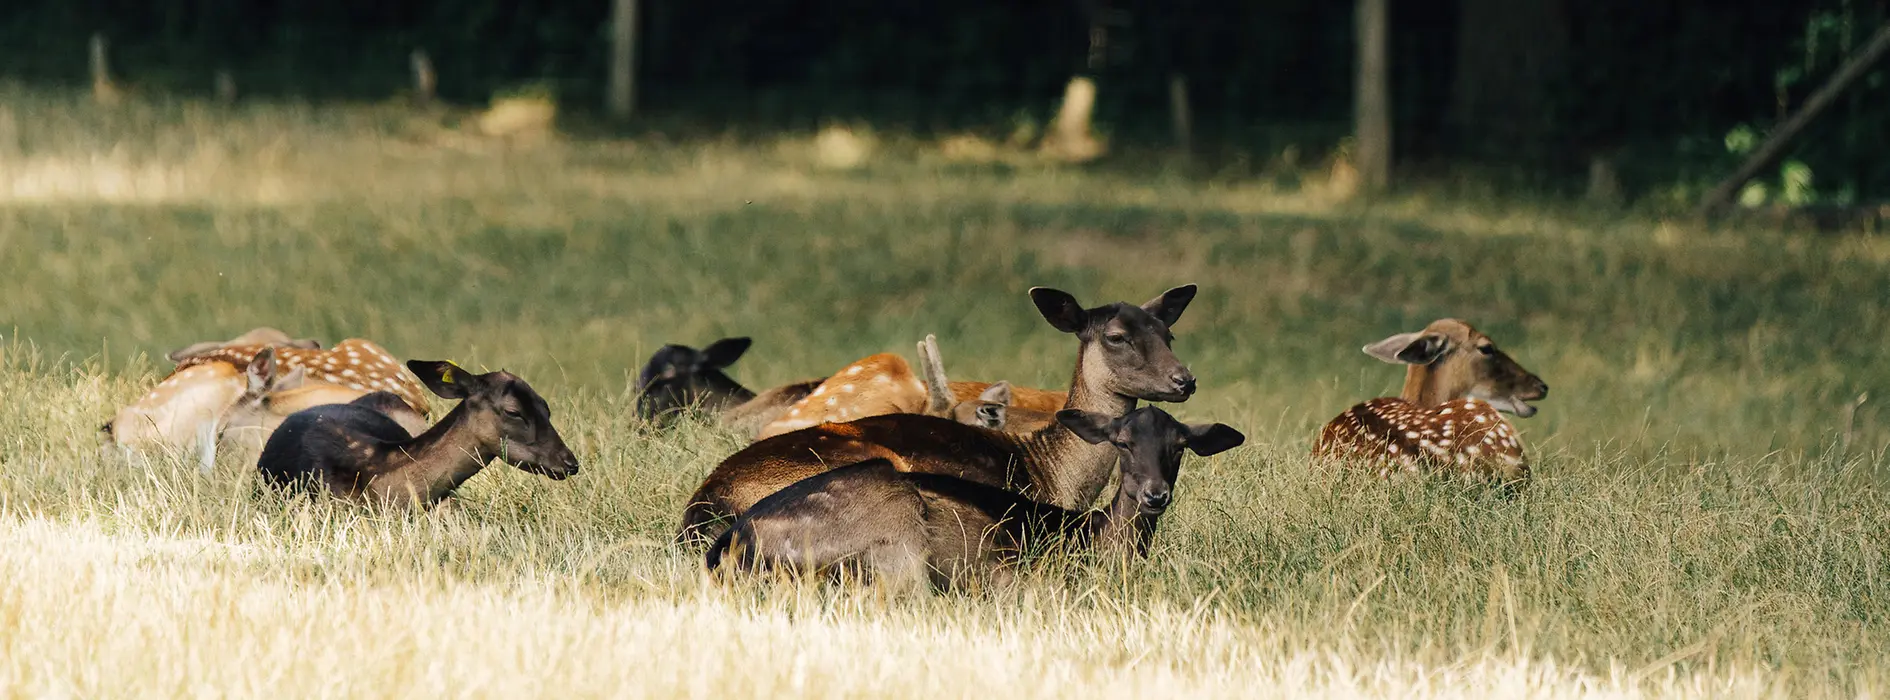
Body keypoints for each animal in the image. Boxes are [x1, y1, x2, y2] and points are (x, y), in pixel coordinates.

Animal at [703, 404, 1247, 597]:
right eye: (1122, 442)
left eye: (1180, 444)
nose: (1156, 494)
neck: (1090, 539)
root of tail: (731, 544)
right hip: (897, 536)